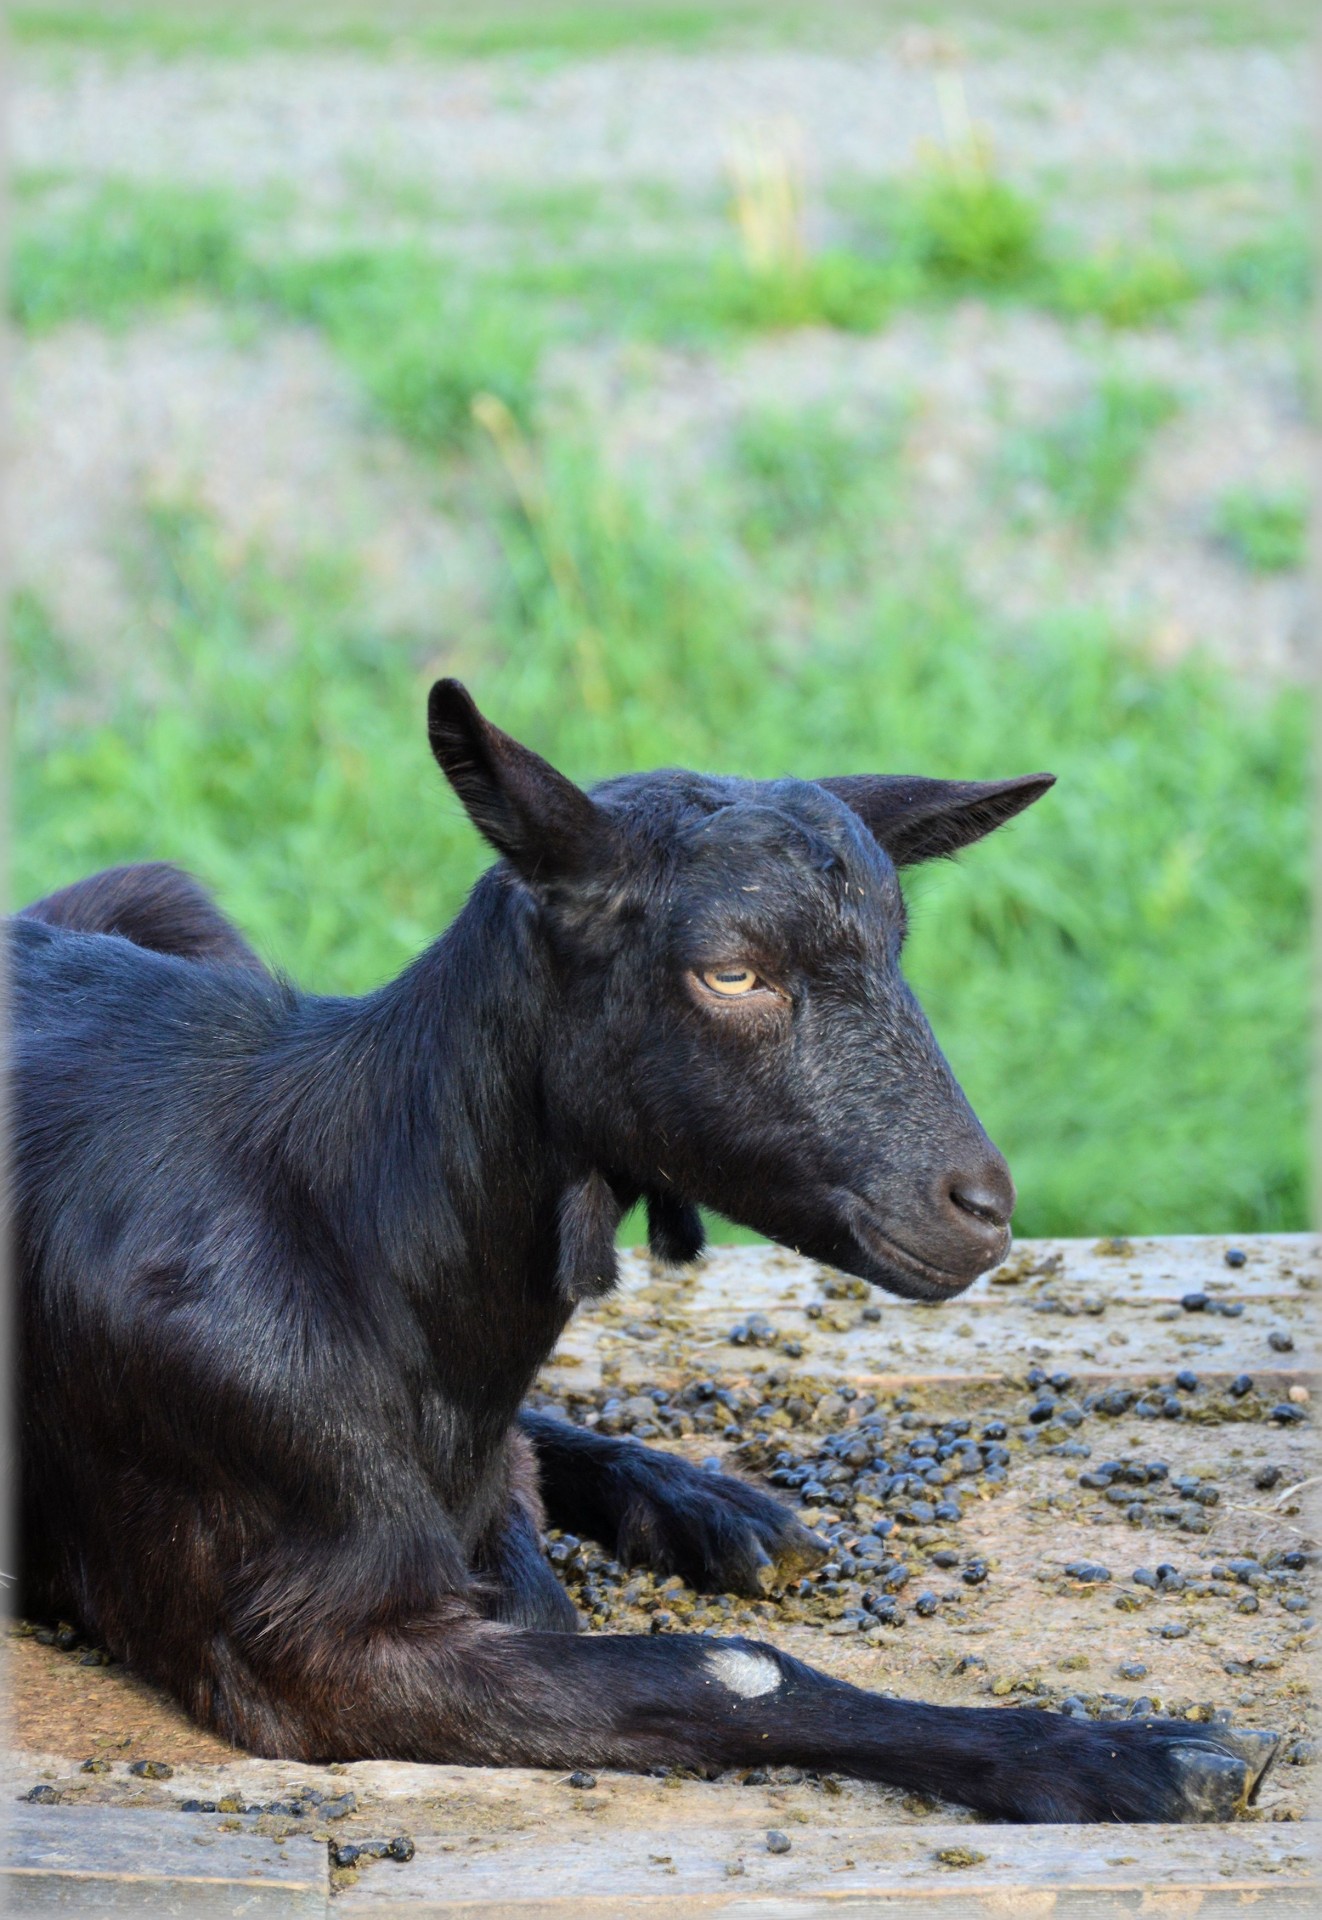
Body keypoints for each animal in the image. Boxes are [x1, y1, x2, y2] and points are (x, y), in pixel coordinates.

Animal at [7, 687, 1266, 1812]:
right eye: (730, 970)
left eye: (897, 947)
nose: (979, 1206)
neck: (353, 1248)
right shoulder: (297, 1643)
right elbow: (724, 1672)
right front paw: (1129, 1759)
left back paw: (716, 1508)